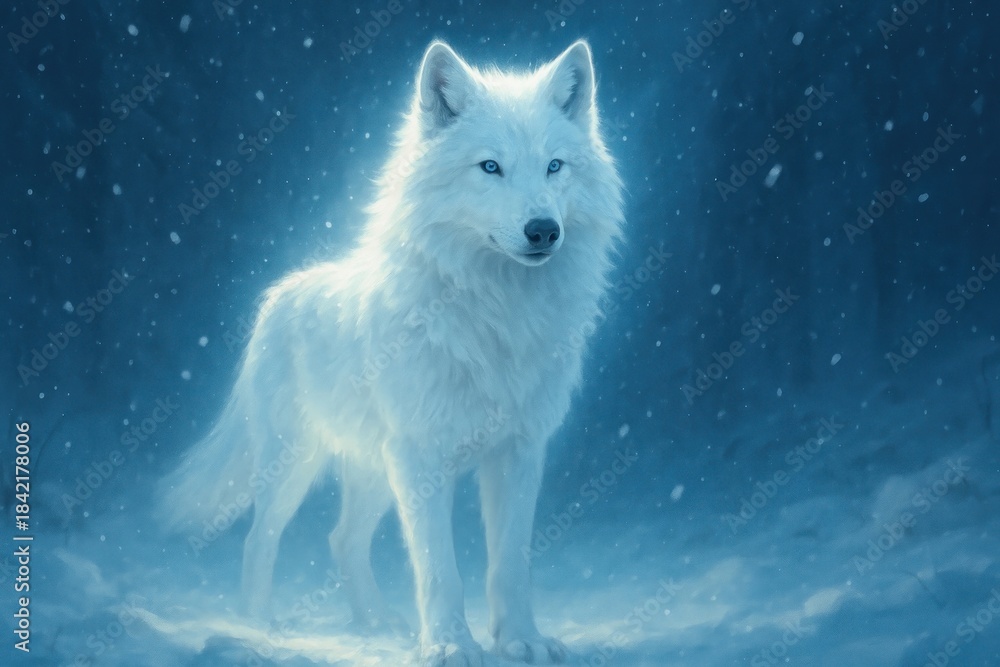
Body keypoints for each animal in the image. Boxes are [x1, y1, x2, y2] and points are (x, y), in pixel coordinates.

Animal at [161, 39, 624, 666]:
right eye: (490, 167)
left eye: (555, 166)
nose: (543, 230)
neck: (495, 313)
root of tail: (280, 293)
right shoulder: (421, 457)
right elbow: (438, 569)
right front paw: (450, 646)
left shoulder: (520, 452)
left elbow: (509, 563)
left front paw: (521, 640)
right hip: (296, 464)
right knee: (261, 538)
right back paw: (258, 628)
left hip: (373, 472)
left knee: (341, 539)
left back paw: (375, 623)